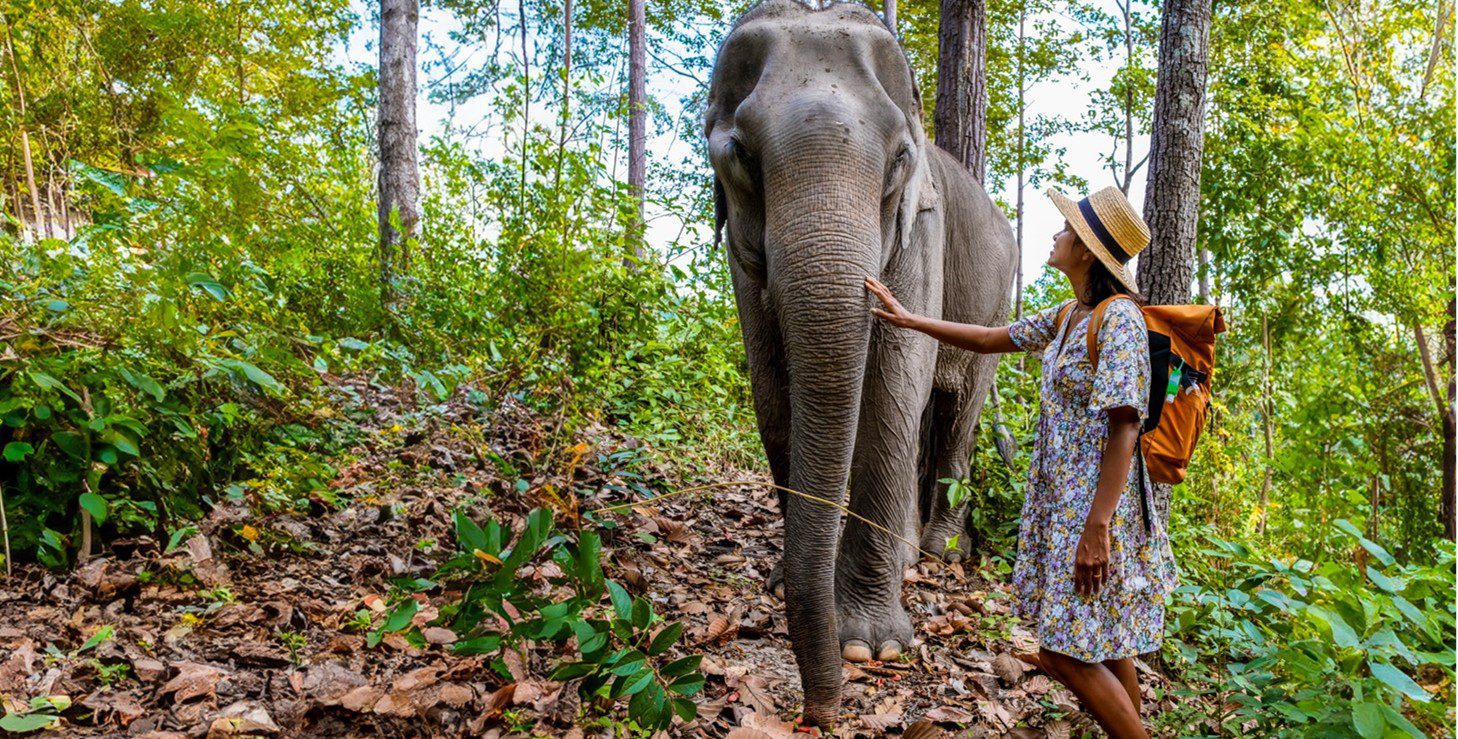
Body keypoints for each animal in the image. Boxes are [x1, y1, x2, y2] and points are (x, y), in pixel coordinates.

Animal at [704, 0, 1017, 726]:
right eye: (740, 155)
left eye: (901, 158)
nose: (819, 710)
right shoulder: (741, 251)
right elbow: (772, 384)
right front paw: (782, 581)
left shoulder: (922, 229)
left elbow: (895, 377)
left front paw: (870, 645)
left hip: (996, 300)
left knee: (956, 411)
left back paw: (935, 553)